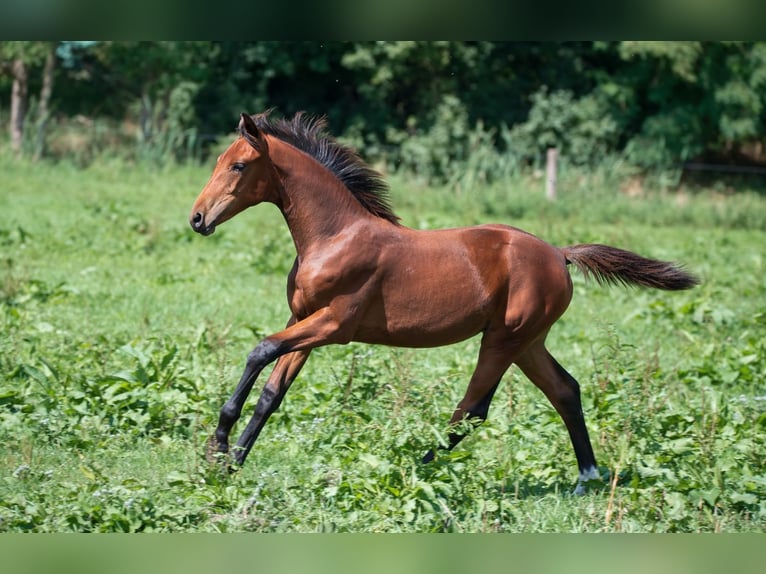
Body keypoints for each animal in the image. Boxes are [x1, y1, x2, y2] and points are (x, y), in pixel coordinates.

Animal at [188, 111, 704, 496]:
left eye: (238, 166)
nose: (197, 218)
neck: (335, 236)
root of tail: (559, 254)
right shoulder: (304, 320)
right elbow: (272, 394)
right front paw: (230, 464)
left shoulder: (333, 324)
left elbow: (260, 350)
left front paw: (218, 447)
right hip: (528, 342)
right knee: (564, 390)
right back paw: (586, 478)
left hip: (504, 338)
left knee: (474, 408)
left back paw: (419, 468)